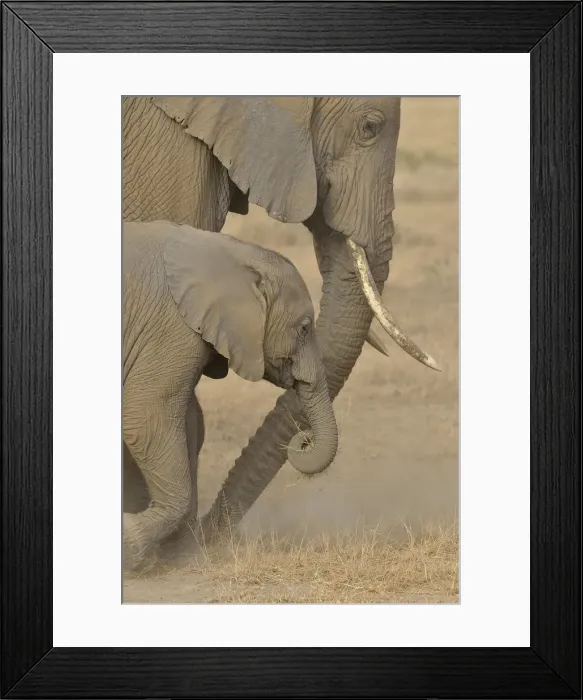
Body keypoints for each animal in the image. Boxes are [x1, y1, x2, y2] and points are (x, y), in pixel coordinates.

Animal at [123, 220, 338, 570]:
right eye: (305, 328)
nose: (304, 439)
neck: (236, 254)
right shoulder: (171, 327)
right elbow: (145, 420)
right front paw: (130, 546)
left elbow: (187, 421)